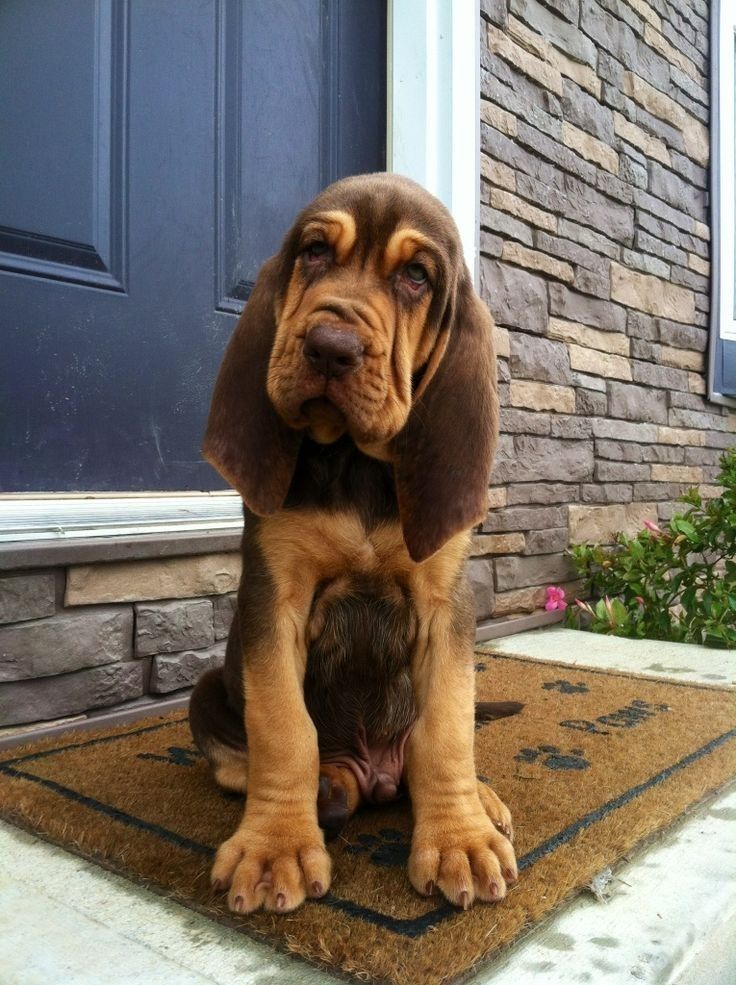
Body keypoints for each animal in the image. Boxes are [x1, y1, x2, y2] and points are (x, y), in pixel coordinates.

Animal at [193, 173, 520, 920]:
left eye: (415, 276)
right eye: (314, 251)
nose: (330, 346)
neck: (356, 460)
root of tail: (371, 773)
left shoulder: (445, 605)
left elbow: (446, 731)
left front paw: (459, 837)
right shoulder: (273, 596)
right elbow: (284, 728)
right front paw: (274, 847)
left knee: (429, 753)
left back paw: (479, 800)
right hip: (207, 690)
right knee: (245, 758)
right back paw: (324, 792)